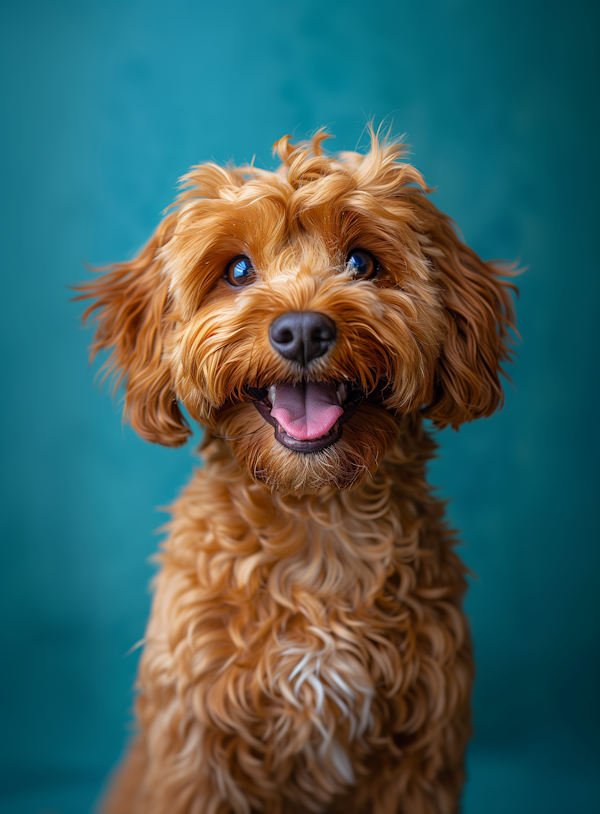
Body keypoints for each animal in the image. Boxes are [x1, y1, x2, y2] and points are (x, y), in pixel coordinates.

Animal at [78, 131, 516, 812]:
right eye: (237, 271)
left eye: (362, 262)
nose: (304, 329)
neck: (316, 520)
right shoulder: (197, 750)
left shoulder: (420, 754)